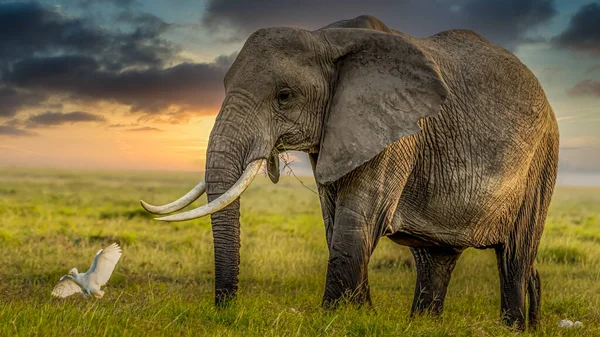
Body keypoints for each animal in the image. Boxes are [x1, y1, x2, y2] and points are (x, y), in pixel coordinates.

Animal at [141, 15, 556, 328]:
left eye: (284, 96)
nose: (227, 307)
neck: (326, 38)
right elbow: (333, 217)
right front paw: (360, 314)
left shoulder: (394, 130)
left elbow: (359, 217)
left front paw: (337, 317)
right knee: (436, 257)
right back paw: (425, 324)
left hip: (542, 160)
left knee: (515, 255)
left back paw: (514, 327)